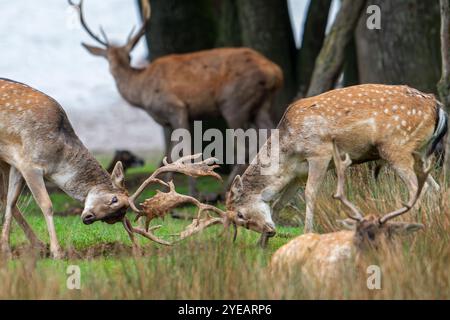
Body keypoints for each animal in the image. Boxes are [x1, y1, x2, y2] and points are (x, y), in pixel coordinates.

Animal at [0, 78, 130, 260]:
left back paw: (38, 245)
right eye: (114, 199)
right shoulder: (30, 163)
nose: (88, 218)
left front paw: (5, 249)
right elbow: (46, 204)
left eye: (111, 219)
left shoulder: (17, 162)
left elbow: (11, 201)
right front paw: (57, 252)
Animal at [69, 0, 282, 194]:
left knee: (245, 147)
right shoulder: (167, 122)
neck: (142, 91)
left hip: (233, 103)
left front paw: (192, 193)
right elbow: (169, 155)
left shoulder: (176, 108)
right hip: (262, 105)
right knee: (273, 136)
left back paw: (224, 191)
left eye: (124, 57)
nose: (112, 71)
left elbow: (185, 151)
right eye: (112, 58)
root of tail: (274, 71)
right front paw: (164, 189)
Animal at [227, 83, 448, 242]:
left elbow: (310, 193)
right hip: (420, 153)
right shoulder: (298, 174)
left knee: (417, 189)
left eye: (240, 214)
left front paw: (307, 232)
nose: (269, 231)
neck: (288, 151)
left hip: (396, 147)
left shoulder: (319, 152)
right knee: (435, 188)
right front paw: (262, 244)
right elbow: (279, 203)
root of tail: (437, 107)